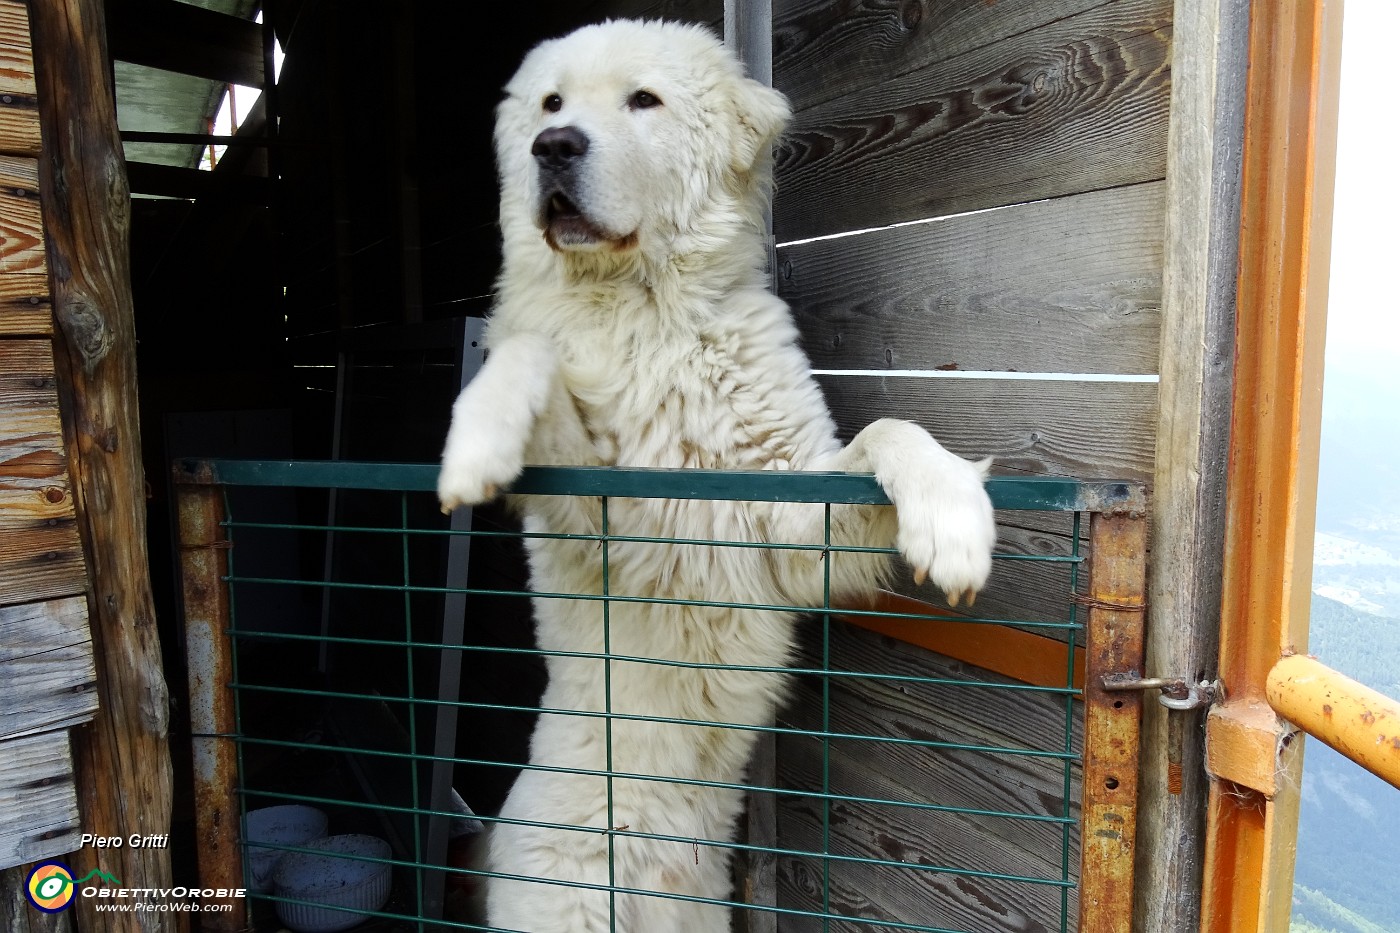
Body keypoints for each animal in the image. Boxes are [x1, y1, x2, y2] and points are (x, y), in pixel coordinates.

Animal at [436, 21, 996, 930]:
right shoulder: (602, 517)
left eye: (643, 100)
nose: (553, 146)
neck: (650, 310)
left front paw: (951, 517)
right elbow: (531, 356)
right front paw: (477, 439)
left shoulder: (794, 519)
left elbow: (890, 432)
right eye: (552, 104)